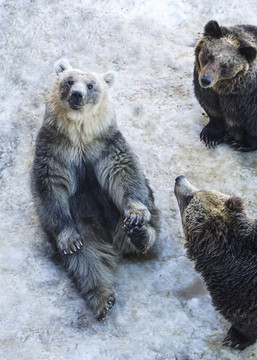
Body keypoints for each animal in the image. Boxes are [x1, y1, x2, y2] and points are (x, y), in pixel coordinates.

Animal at [30, 59, 158, 320]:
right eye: (69, 80)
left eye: (91, 85)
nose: (77, 95)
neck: (79, 134)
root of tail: (110, 237)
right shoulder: (55, 148)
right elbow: (49, 187)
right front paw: (69, 239)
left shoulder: (105, 144)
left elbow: (124, 172)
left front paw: (136, 214)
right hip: (84, 226)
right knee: (85, 259)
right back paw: (103, 299)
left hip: (119, 214)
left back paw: (139, 234)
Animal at [174, 176, 256, 350]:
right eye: (199, 189)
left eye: (190, 197)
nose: (179, 178)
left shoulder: (241, 297)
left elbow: (246, 324)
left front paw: (235, 338)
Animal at [193, 20, 256, 151]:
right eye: (209, 55)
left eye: (225, 65)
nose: (205, 80)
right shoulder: (211, 94)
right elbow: (213, 112)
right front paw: (210, 137)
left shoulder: (247, 103)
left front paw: (242, 144)